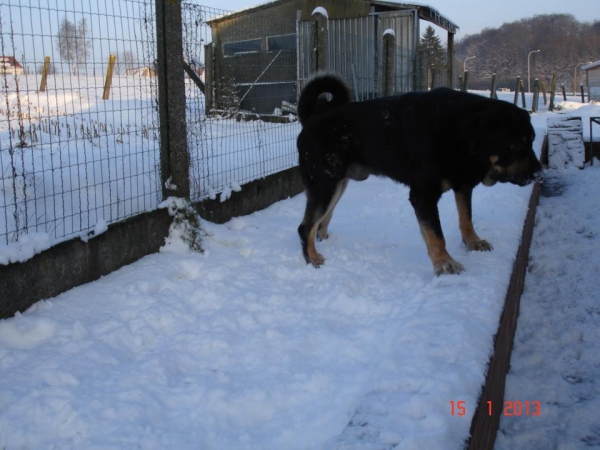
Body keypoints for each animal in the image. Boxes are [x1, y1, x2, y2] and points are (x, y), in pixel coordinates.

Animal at [298, 73, 540, 274]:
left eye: (531, 141)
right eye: (515, 145)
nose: (539, 173)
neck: (459, 132)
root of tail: (311, 119)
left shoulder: (463, 186)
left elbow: (466, 219)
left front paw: (472, 242)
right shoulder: (424, 195)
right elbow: (436, 235)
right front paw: (444, 263)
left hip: (337, 184)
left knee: (321, 221)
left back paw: (323, 241)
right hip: (325, 185)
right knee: (305, 227)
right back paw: (312, 259)